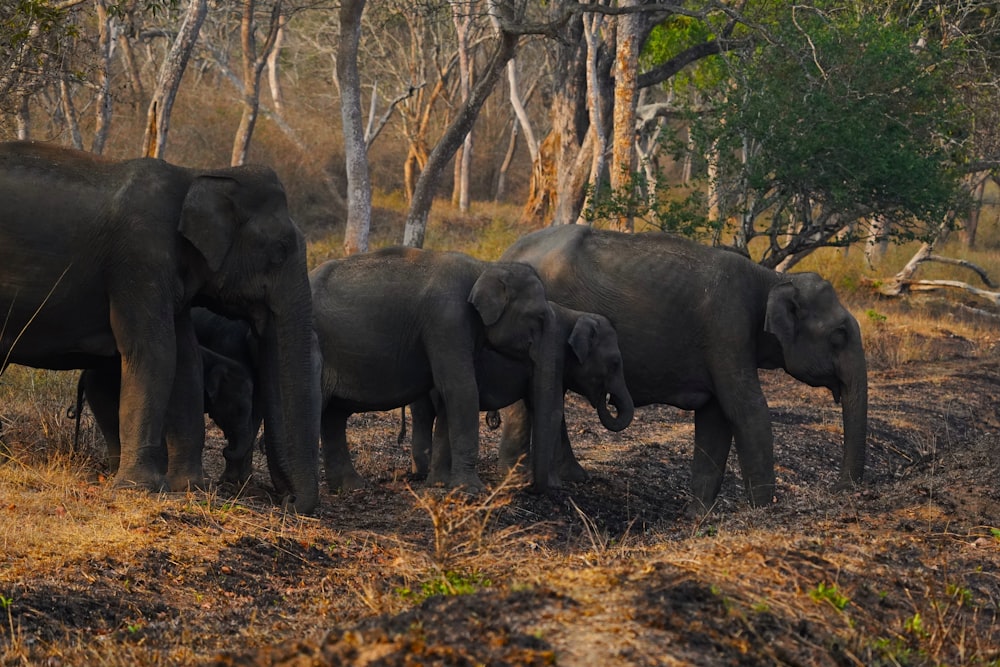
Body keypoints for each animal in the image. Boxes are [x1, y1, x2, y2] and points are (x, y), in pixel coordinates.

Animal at [0, 142, 318, 512]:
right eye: (279, 250)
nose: (288, 501)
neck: (198, 175)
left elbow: (186, 361)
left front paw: (191, 487)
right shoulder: (140, 260)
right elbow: (155, 352)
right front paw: (139, 489)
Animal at [308, 248, 568, 494]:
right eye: (538, 317)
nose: (529, 487)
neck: (484, 267)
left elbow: (447, 396)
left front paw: (440, 484)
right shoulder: (447, 321)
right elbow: (461, 389)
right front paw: (471, 490)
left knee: (334, 415)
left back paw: (351, 487)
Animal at [406, 302, 632, 486]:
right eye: (614, 363)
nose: (609, 400)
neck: (576, 315)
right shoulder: (553, 354)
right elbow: (552, 410)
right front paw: (553, 485)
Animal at [500, 224, 868, 512]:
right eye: (839, 335)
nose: (840, 489)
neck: (773, 278)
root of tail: (508, 253)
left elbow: (715, 418)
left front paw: (698, 515)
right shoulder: (727, 329)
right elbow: (747, 410)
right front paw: (763, 511)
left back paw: (569, 477)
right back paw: (517, 479)